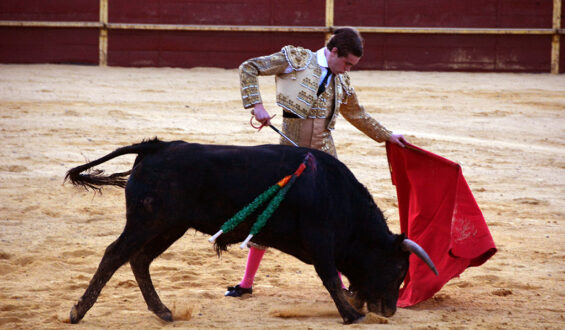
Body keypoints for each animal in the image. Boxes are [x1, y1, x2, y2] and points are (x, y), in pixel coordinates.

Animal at [66, 139, 436, 324]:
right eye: (398, 269)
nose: (390, 310)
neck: (337, 194)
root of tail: (158, 146)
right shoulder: (321, 242)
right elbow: (331, 278)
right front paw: (351, 314)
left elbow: (338, 280)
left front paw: (353, 306)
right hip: (148, 221)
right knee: (115, 254)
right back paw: (77, 312)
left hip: (170, 226)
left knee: (139, 260)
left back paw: (163, 312)